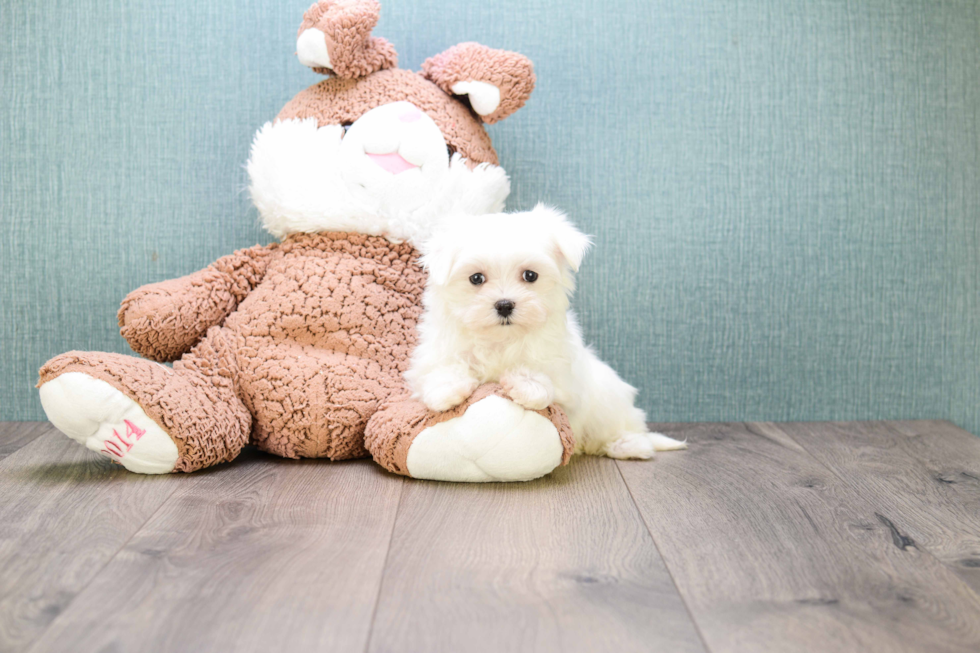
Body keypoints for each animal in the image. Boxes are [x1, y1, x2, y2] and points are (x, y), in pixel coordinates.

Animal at [408, 204, 688, 458]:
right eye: (476, 278)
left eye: (530, 275)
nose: (504, 304)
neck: (502, 340)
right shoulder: (433, 354)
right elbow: (440, 370)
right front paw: (447, 388)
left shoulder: (566, 378)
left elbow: (548, 385)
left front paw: (525, 383)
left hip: (610, 399)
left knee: (627, 428)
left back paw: (628, 445)